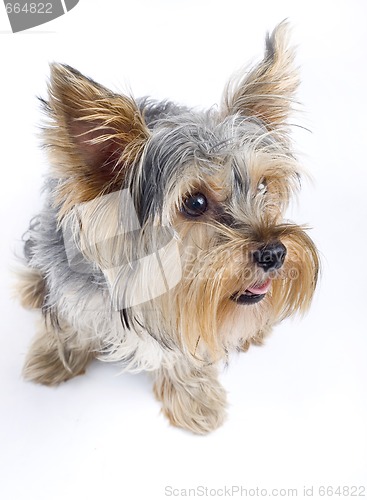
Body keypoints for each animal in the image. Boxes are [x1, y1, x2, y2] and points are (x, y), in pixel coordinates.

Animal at [17, 20, 320, 434]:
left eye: (263, 186)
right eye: (195, 203)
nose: (275, 253)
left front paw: (193, 396)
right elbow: (68, 320)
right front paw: (53, 357)